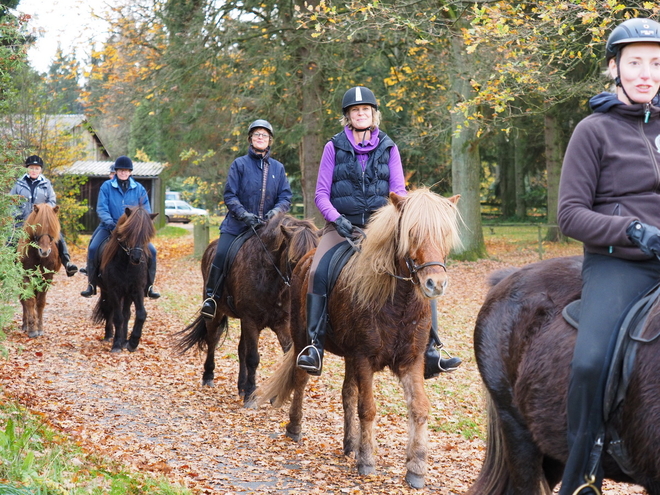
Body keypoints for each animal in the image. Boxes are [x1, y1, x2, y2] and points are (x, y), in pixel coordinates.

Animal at [17, 203, 61, 340]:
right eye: (37, 228)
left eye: (52, 228)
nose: (45, 251)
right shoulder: (25, 276)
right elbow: (29, 301)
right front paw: (32, 329)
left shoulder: (47, 277)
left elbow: (40, 302)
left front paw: (40, 328)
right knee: (23, 300)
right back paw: (25, 325)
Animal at [91, 205, 157, 352]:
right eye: (129, 232)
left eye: (147, 234)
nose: (136, 258)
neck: (126, 264)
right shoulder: (114, 290)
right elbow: (117, 317)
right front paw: (116, 345)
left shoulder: (137, 290)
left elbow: (140, 314)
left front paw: (132, 342)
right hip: (106, 291)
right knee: (109, 310)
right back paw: (110, 336)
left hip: (127, 295)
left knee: (126, 314)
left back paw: (124, 340)